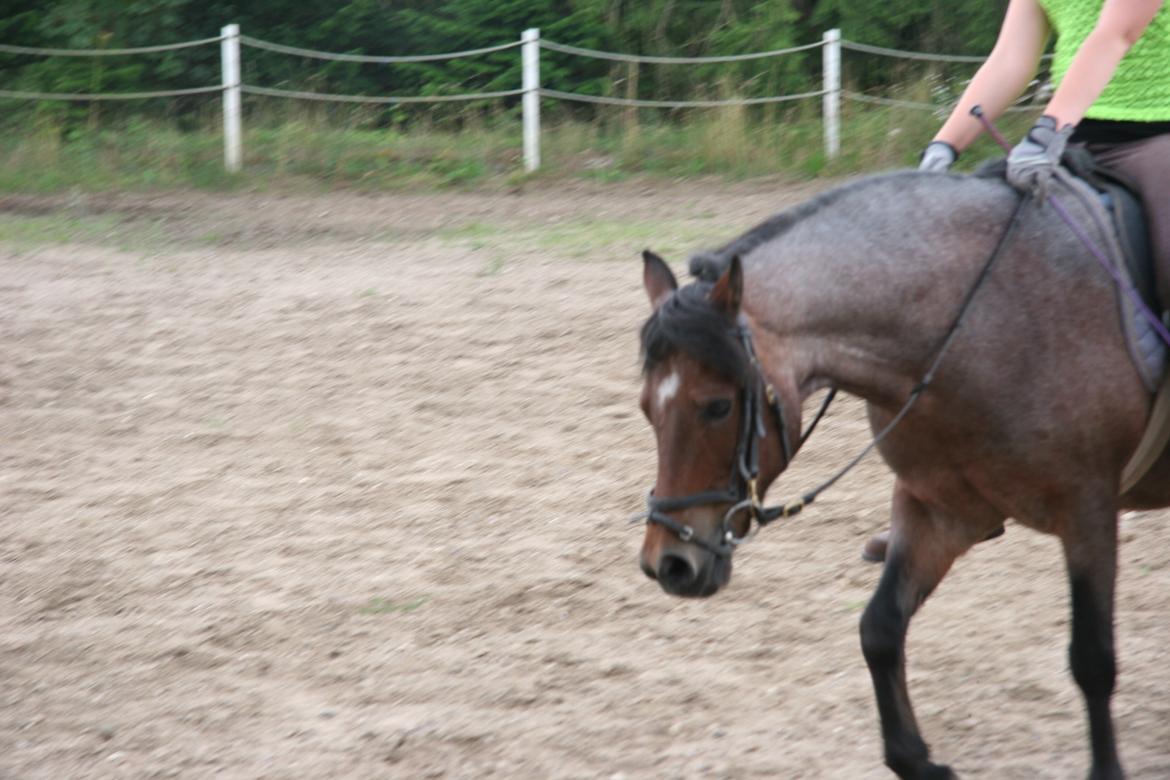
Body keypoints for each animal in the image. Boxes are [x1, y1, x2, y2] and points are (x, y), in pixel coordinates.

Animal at [636, 166, 1170, 780]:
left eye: (718, 407)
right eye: (646, 408)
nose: (669, 564)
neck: (981, 327)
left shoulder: (1087, 510)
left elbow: (1092, 658)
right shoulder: (940, 509)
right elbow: (880, 629)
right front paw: (915, 759)